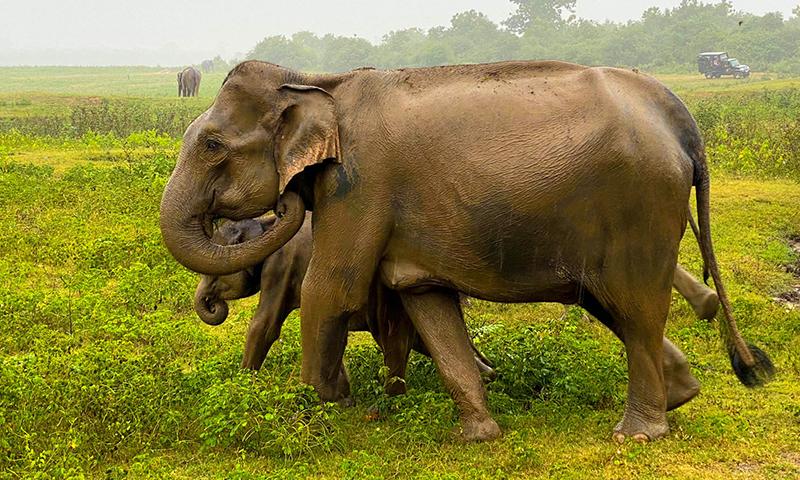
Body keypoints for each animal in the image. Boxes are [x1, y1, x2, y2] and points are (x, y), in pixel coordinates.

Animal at [193, 216, 494, 396]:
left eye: (211, 272)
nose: (212, 303)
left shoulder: (281, 266)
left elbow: (264, 326)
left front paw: (241, 387)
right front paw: (341, 397)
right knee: (421, 341)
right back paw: (490, 378)